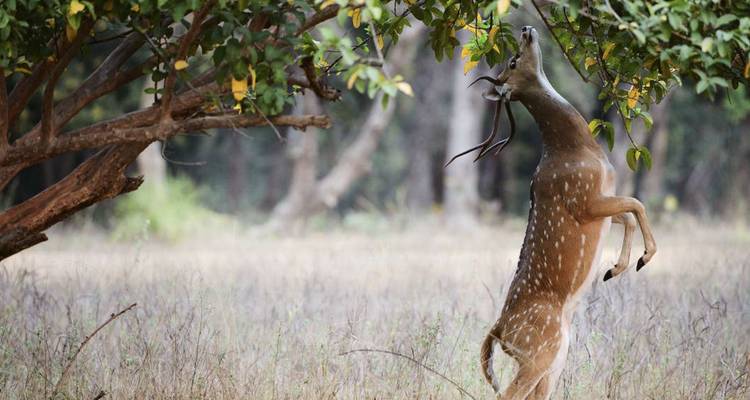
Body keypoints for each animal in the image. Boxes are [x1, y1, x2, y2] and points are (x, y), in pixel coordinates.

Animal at [449, 26, 657, 399]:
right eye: (513, 60)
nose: (526, 29)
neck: (577, 149)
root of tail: (499, 331)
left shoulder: (600, 201)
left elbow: (628, 213)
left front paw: (615, 268)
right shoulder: (583, 198)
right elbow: (636, 203)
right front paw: (642, 259)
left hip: (553, 357)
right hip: (539, 350)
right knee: (507, 393)